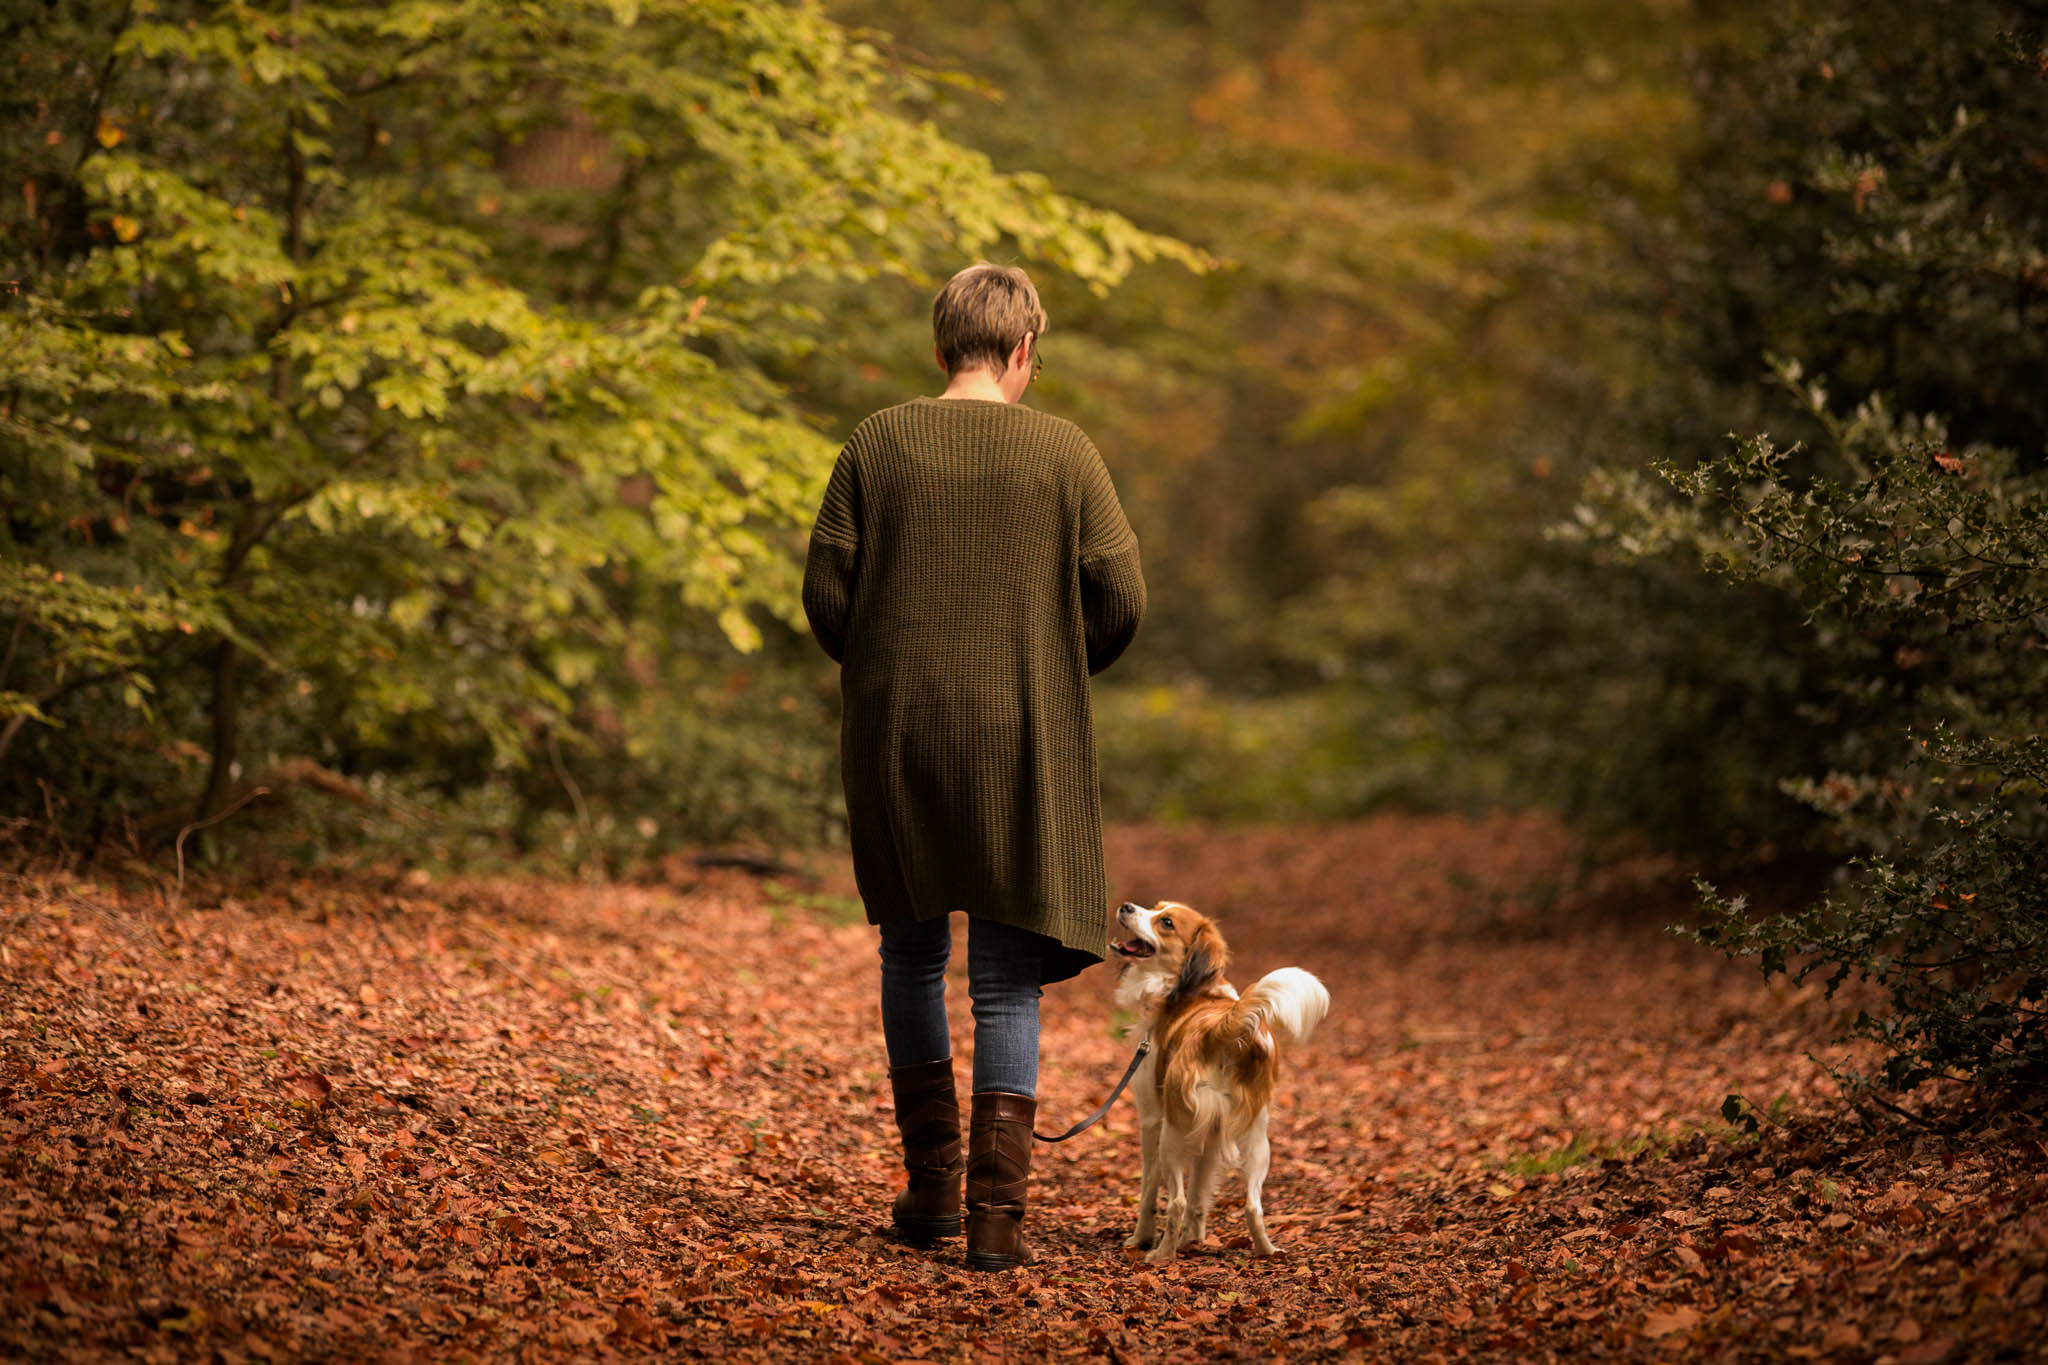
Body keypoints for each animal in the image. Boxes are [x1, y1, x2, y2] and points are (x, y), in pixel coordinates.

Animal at [1105, 900, 1327, 1268]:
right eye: (1156, 907)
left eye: (1166, 922)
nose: (1126, 907)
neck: (1191, 993)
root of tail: (1222, 1028)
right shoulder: (1211, 1131)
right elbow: (1199, 1194)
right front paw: (1194, 1240)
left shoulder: (1152, 1120)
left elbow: (1150, 1192)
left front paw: (1140, 1238)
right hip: (1257, 1140)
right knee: (1253, 1206)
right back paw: (1267, 1251)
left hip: (1171, 1137)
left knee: (1176, 1202)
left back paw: (1161, 1255)